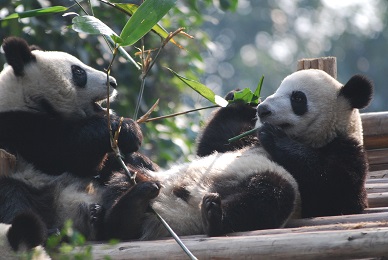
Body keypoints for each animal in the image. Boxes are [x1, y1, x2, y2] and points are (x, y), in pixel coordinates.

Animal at [197, 68, 372, 217]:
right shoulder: (244, 139)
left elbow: (338, 191)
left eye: (298, 98)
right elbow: (212, 147)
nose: (262, 110)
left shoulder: (348, 151)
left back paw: (214, 213)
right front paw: (240, 100)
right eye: (277, 89)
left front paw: (273, 137)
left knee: (271, 193)